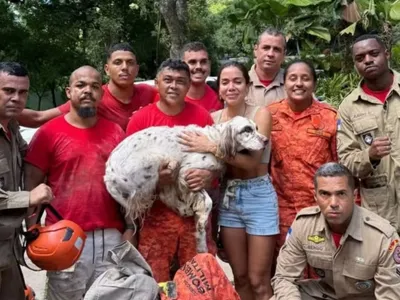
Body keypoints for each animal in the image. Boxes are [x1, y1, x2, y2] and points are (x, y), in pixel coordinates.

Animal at [104, 116, 266, 252]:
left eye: (256, 127)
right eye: (247, 129)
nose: (266, 141)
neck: (214, 139)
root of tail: (108, 176)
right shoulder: (186, 172)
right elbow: (207, 201)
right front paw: (201, 234)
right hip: (156, 159)